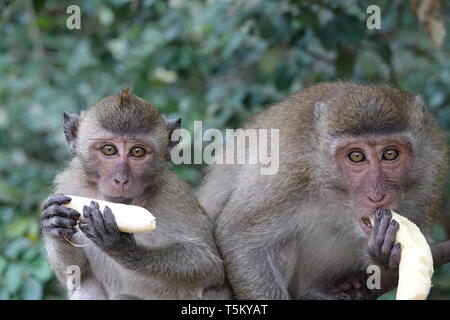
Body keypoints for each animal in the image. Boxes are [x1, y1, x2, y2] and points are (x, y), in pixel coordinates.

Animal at [40, 87, 230, 300]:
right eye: (109, 149)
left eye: (137, 152)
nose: (121, 180)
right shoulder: (69, 185)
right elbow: (76, 272)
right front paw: (54, 220)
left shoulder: (176, 195)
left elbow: (210, 266)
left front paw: (123, 246)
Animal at [199, 81, 448, 298]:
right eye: (356, 156)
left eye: (390, 154)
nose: (377, 195)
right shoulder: (289, 171)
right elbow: (238, 235)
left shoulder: (429, 174)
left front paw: (383, 255)